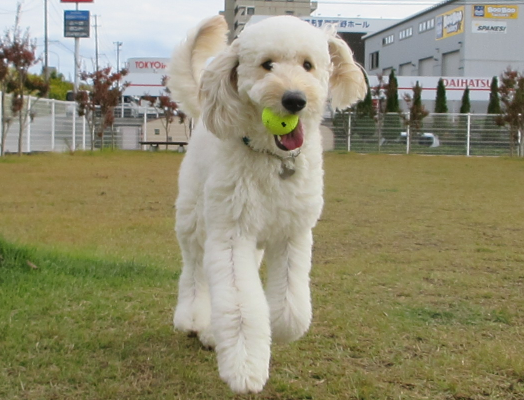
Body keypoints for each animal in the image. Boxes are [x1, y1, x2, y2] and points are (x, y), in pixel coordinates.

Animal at [168, 15, 366, 393]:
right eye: (267, 65)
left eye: (307, 65)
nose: (294, 99)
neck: (272, 160)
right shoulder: (231, 236)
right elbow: (241, 307)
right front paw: (245, 367)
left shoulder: (293, 233)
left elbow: (290, 304)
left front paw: (279, 327)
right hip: (195, 222)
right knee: (196, 272)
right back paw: (195, 320)